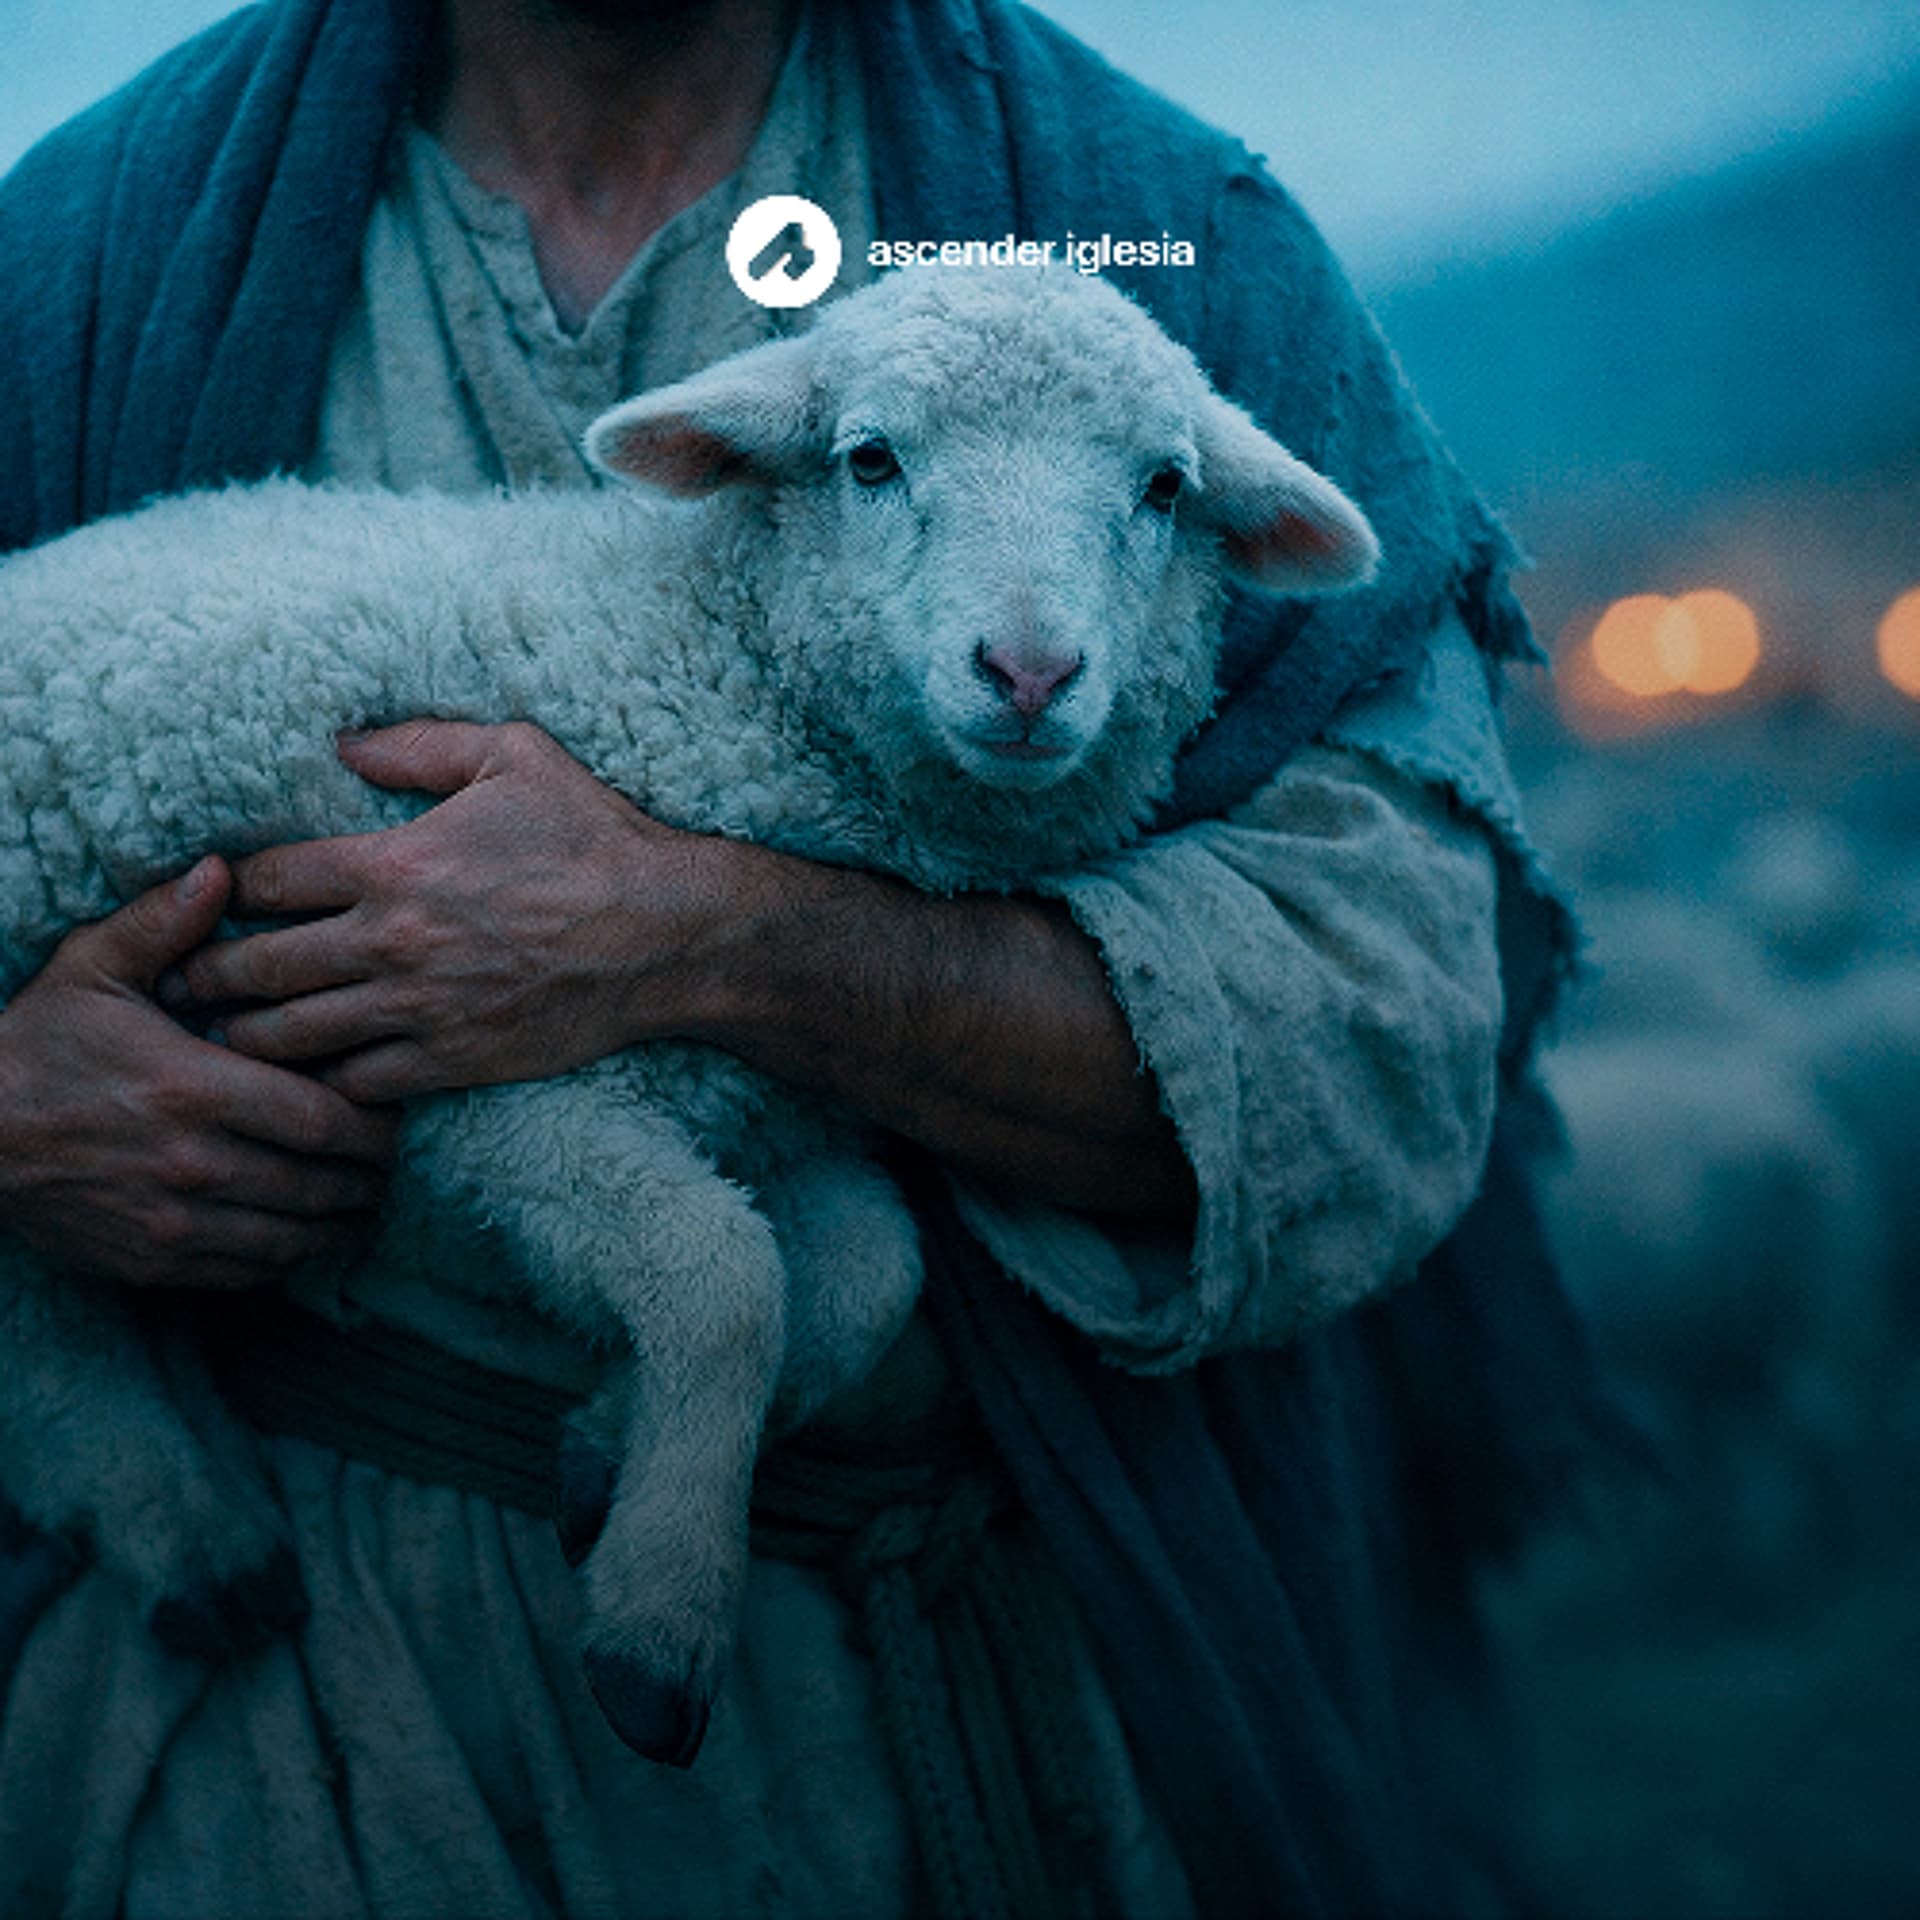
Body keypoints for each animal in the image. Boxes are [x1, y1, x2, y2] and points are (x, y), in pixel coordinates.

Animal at [0, 264, 1379, 1764]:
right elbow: (726, 1280)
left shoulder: (770, 1101)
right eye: (871, 459)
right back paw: (182, 1524)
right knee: (41, 1305)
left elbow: (862, 1275)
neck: (703, 666)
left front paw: (609, 1447)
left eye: (1165, 487)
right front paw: (659, 1617)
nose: (1027, 673)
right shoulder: (478, 1075)